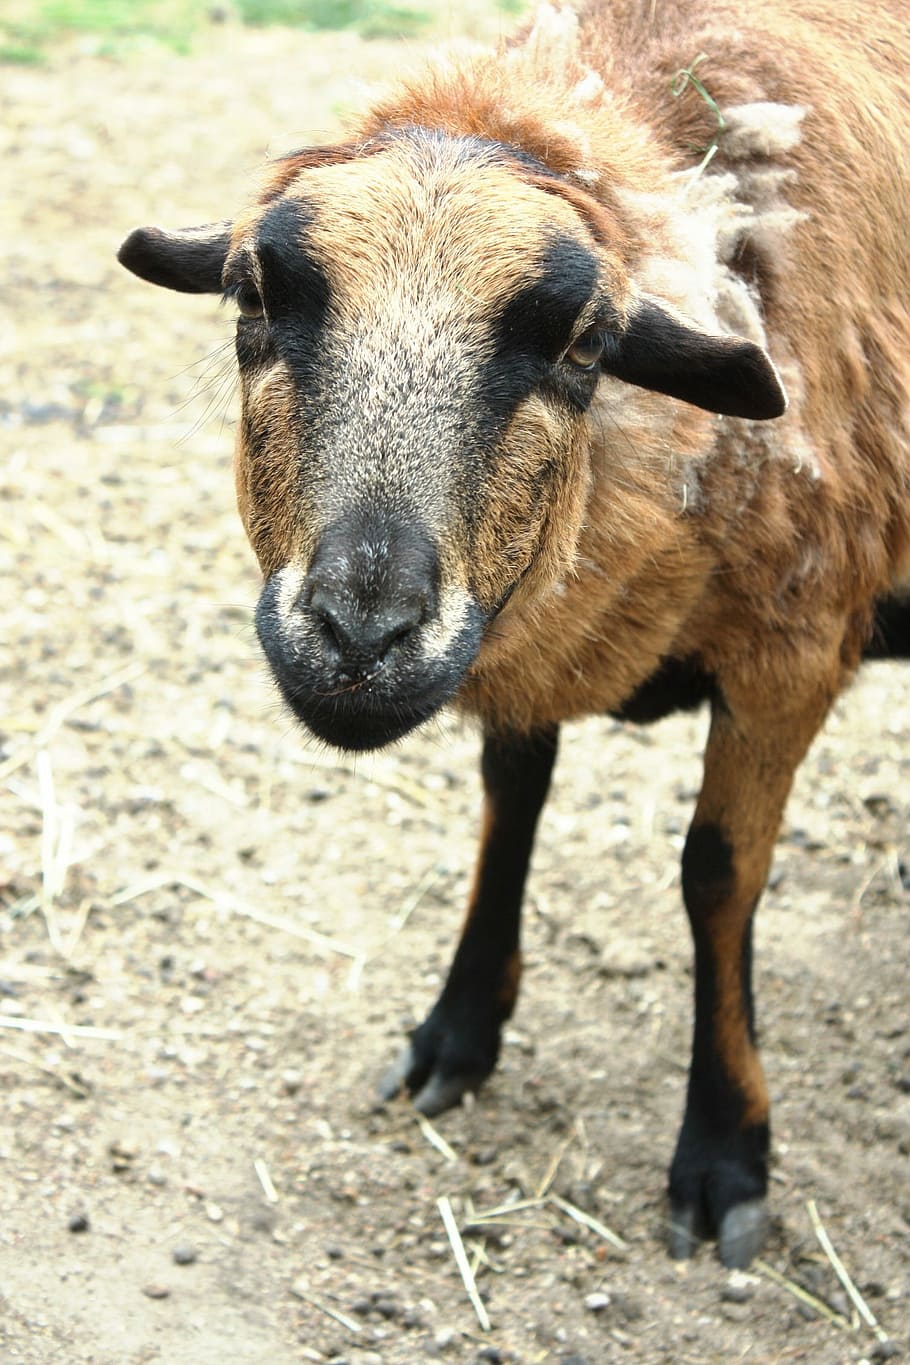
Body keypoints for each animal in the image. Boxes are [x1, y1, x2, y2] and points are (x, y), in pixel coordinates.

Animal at [118, 0, 910, 1267]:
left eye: (584, 342)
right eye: (252, 297)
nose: (358, 635)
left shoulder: (793, 643)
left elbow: (718, 875)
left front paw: (724, 1151)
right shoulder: (521, 646)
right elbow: (510, 808)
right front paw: (457, 1032)